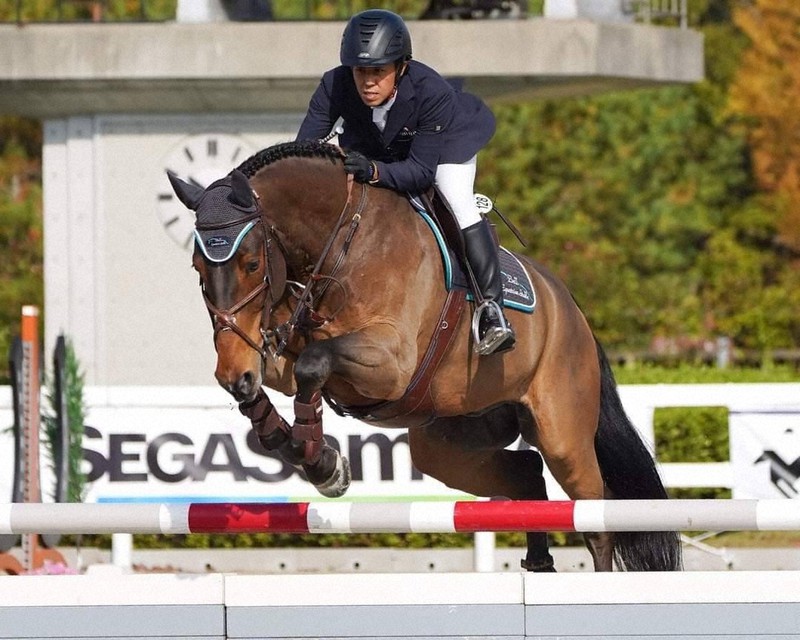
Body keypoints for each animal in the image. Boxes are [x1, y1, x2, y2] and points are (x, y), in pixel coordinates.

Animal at [167, 139, 682, 572]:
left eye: (252, 262)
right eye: (197, 269)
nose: (235, 374)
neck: (341, 244)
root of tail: (572, 310)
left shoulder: (390, 364)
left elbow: (316, 361)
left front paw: (320, 461)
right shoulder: (274, 352)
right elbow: (288, 376)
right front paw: (303, 448)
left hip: (563, 435)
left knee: (595, 521)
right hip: (449, 442)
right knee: (526, 475)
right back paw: (538, 566)